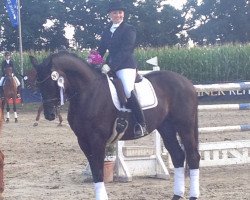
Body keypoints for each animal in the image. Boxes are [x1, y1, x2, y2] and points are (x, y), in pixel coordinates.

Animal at [29, 52, 201, 200]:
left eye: (52, 81)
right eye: (38, 84)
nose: (50, 115)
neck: (88, 92)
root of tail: (187, 82)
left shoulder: (97, 140)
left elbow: (98, 171)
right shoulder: (83, 141)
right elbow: (94, 171)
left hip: (184, 126)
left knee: (193, 156)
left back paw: (193, 196)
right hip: (166, 127)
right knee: (178, 156)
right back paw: (176, 195)